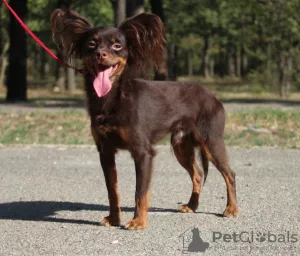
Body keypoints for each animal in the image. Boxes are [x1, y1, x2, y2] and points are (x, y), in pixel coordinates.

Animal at [50, 9, 238, 230]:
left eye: (117, 46)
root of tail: (213, 96)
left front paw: (138, 221)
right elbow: (112, 191)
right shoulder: (105, 152)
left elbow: (140, 191)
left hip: (211, 141)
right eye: (91, 44)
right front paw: (114, 218)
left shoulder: (143, 153)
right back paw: (192, 205)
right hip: (181, 145)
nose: (100, 54)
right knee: (198, 174)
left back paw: (231, 209)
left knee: (229, 174)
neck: (113, 99)